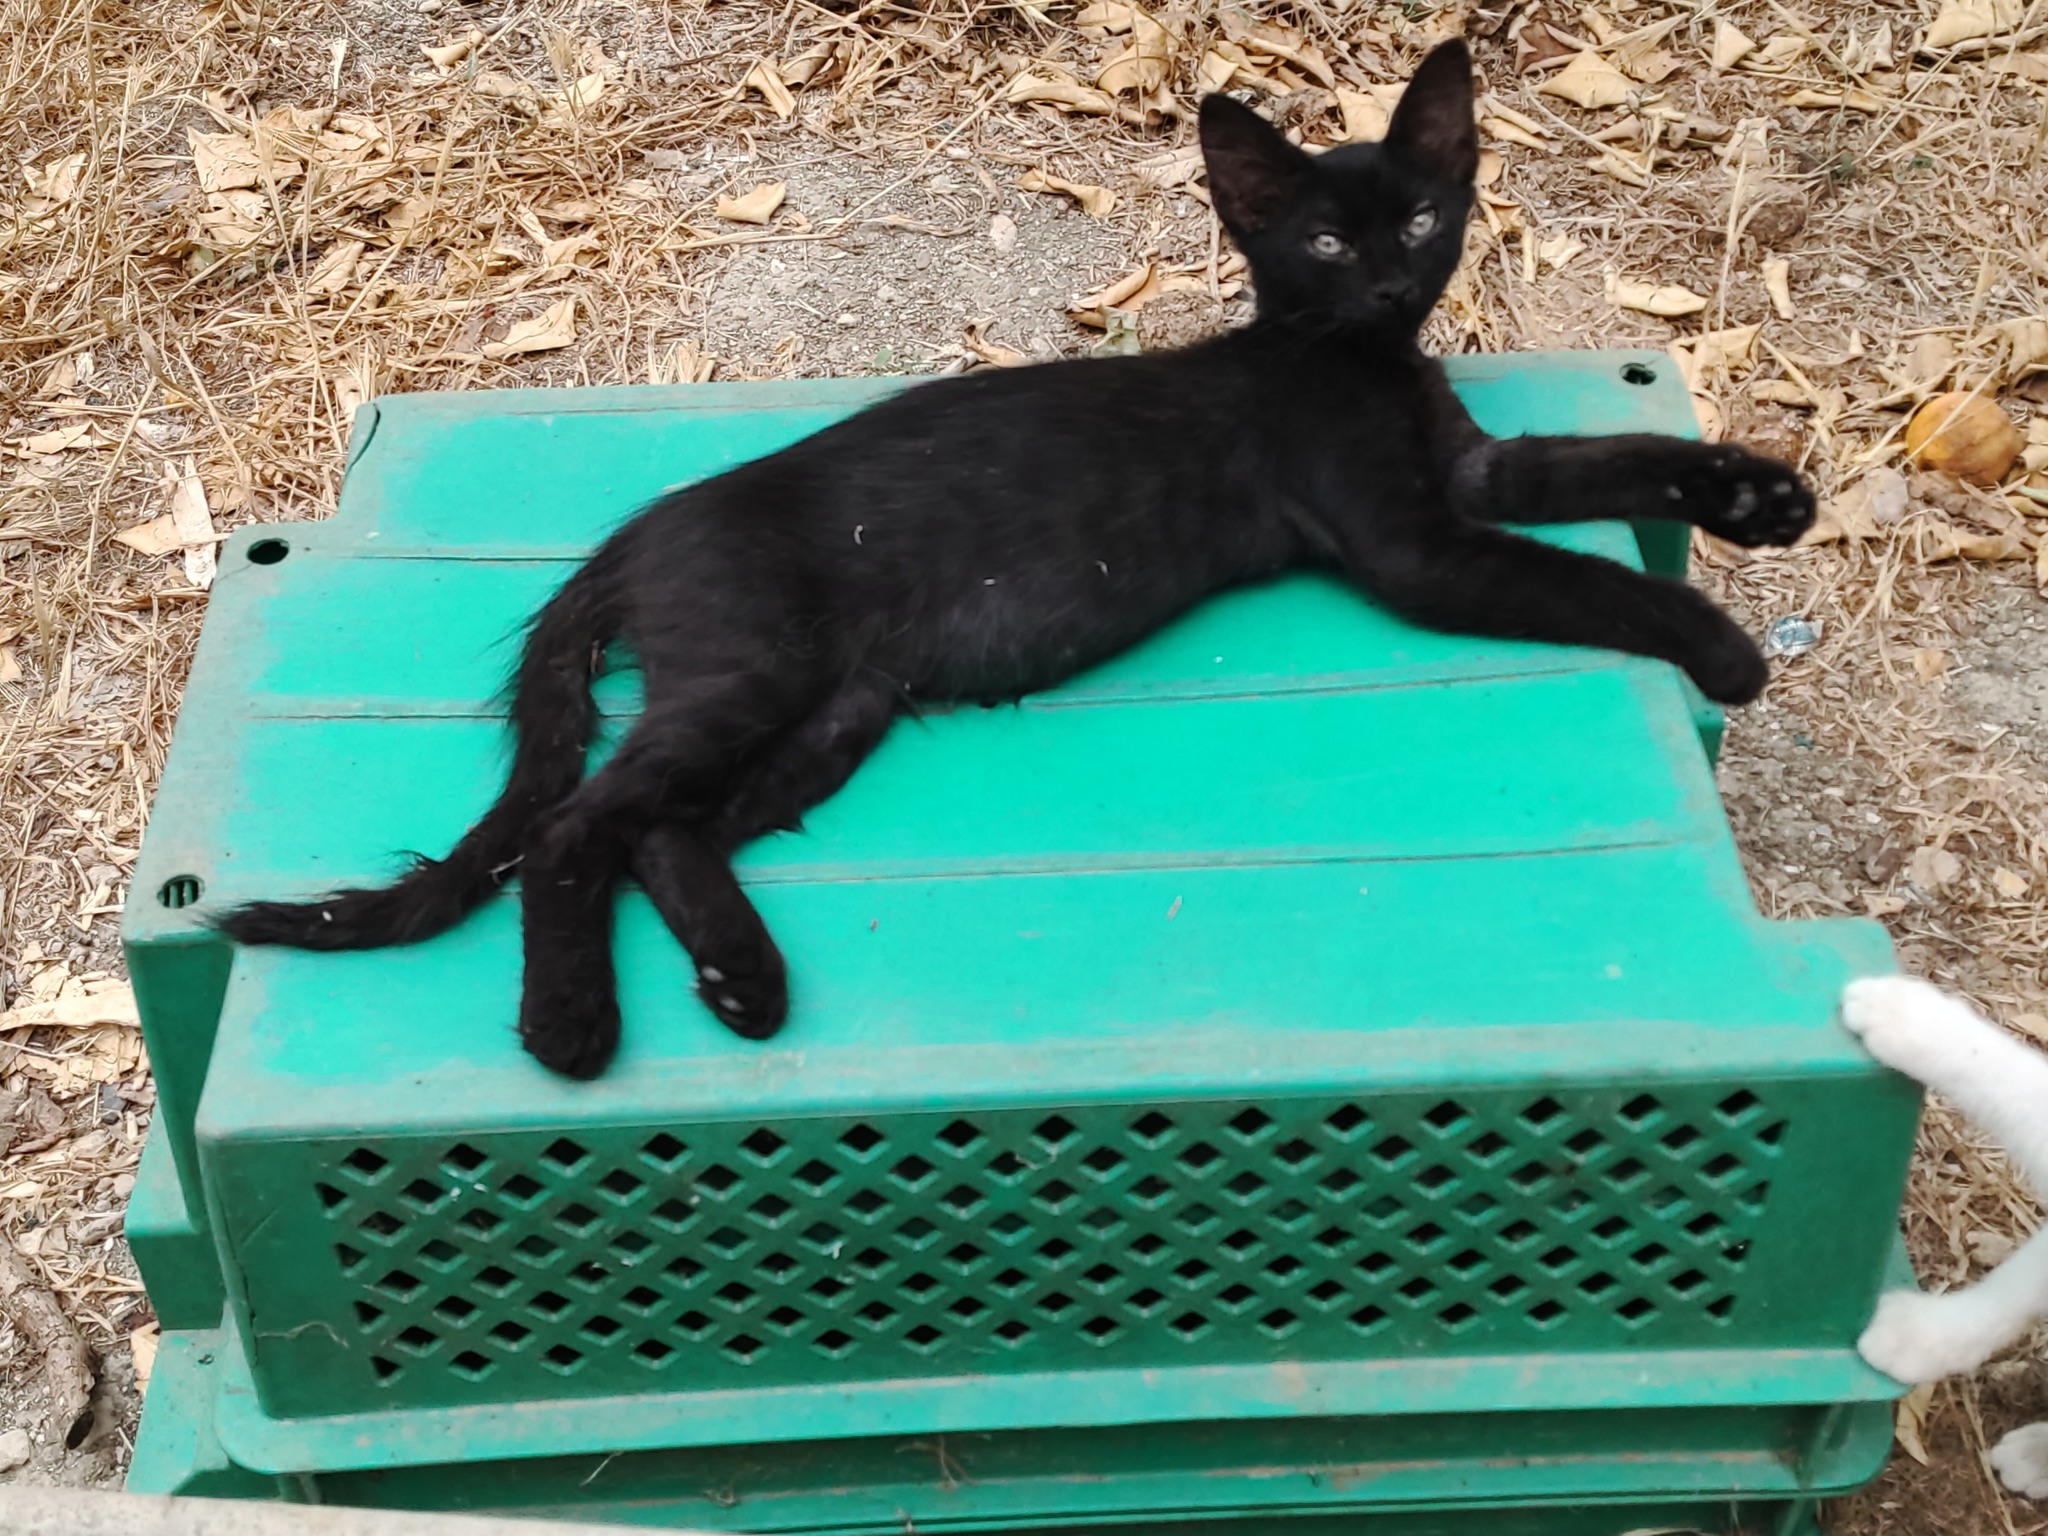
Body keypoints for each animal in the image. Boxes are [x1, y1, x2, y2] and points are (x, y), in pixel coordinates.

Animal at [221, 40, 1815, 1080]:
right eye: (1316, 238)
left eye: (1420, 215)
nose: (1383, 282)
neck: (1353, 362)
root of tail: (635, 531)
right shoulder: (1415, 547)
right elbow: (1594, 580)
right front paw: (1723, 648)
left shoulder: (1474, 472)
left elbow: (1605, 462)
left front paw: (1758, 497)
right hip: (755, 670)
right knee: (572, 827)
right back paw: (571, 1028)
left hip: (840, 712)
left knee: (663, 831)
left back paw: (743, 978)